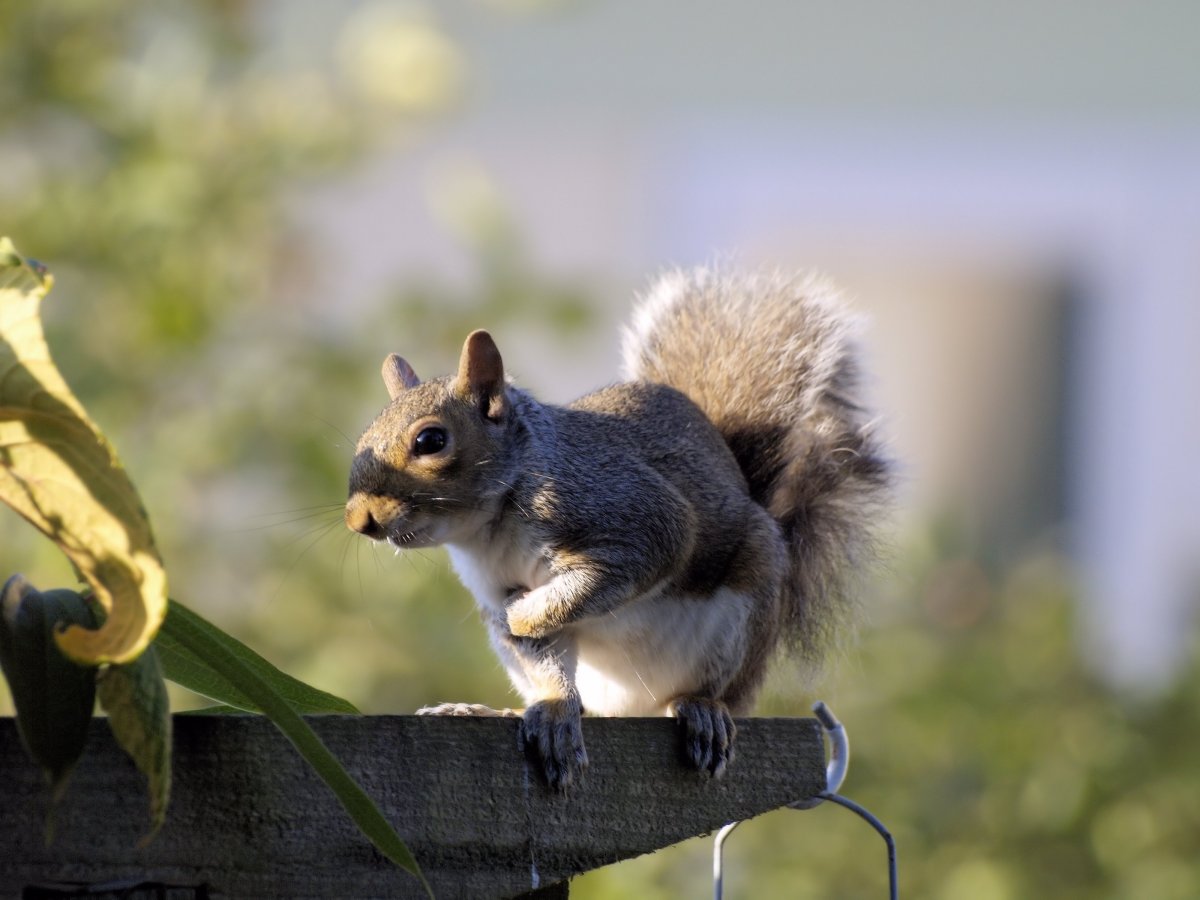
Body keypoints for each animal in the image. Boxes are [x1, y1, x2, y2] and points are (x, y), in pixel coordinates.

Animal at [345, 267, 892, 787]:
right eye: (363, 436)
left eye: (431, 440)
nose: (357, 519)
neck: (488, 527)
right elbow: (544, 656)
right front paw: (553, 708)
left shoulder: (629, 513)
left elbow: (607, 577)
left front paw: (522, 613)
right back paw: (498, 710)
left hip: (744, 614)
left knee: (716, 691)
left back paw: (703, 710)